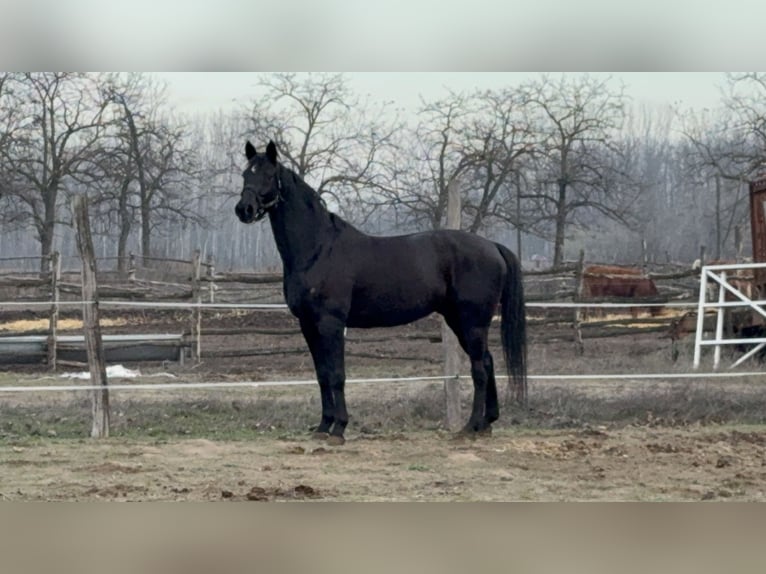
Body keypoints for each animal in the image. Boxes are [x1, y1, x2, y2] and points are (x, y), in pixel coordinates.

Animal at [234, 140, 527, 445]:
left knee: (479, 368)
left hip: (473, 321)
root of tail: (492, 246)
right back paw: (487, 423)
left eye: (268, 175)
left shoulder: (330, 323)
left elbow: (337, 374)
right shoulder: (308, 324)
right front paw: (323, 427)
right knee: (488, 362)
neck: (318, 249)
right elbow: (322, 375)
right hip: (458, 320)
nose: (244, 209)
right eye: (245, 174)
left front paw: (339, 429)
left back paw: (470, 427)